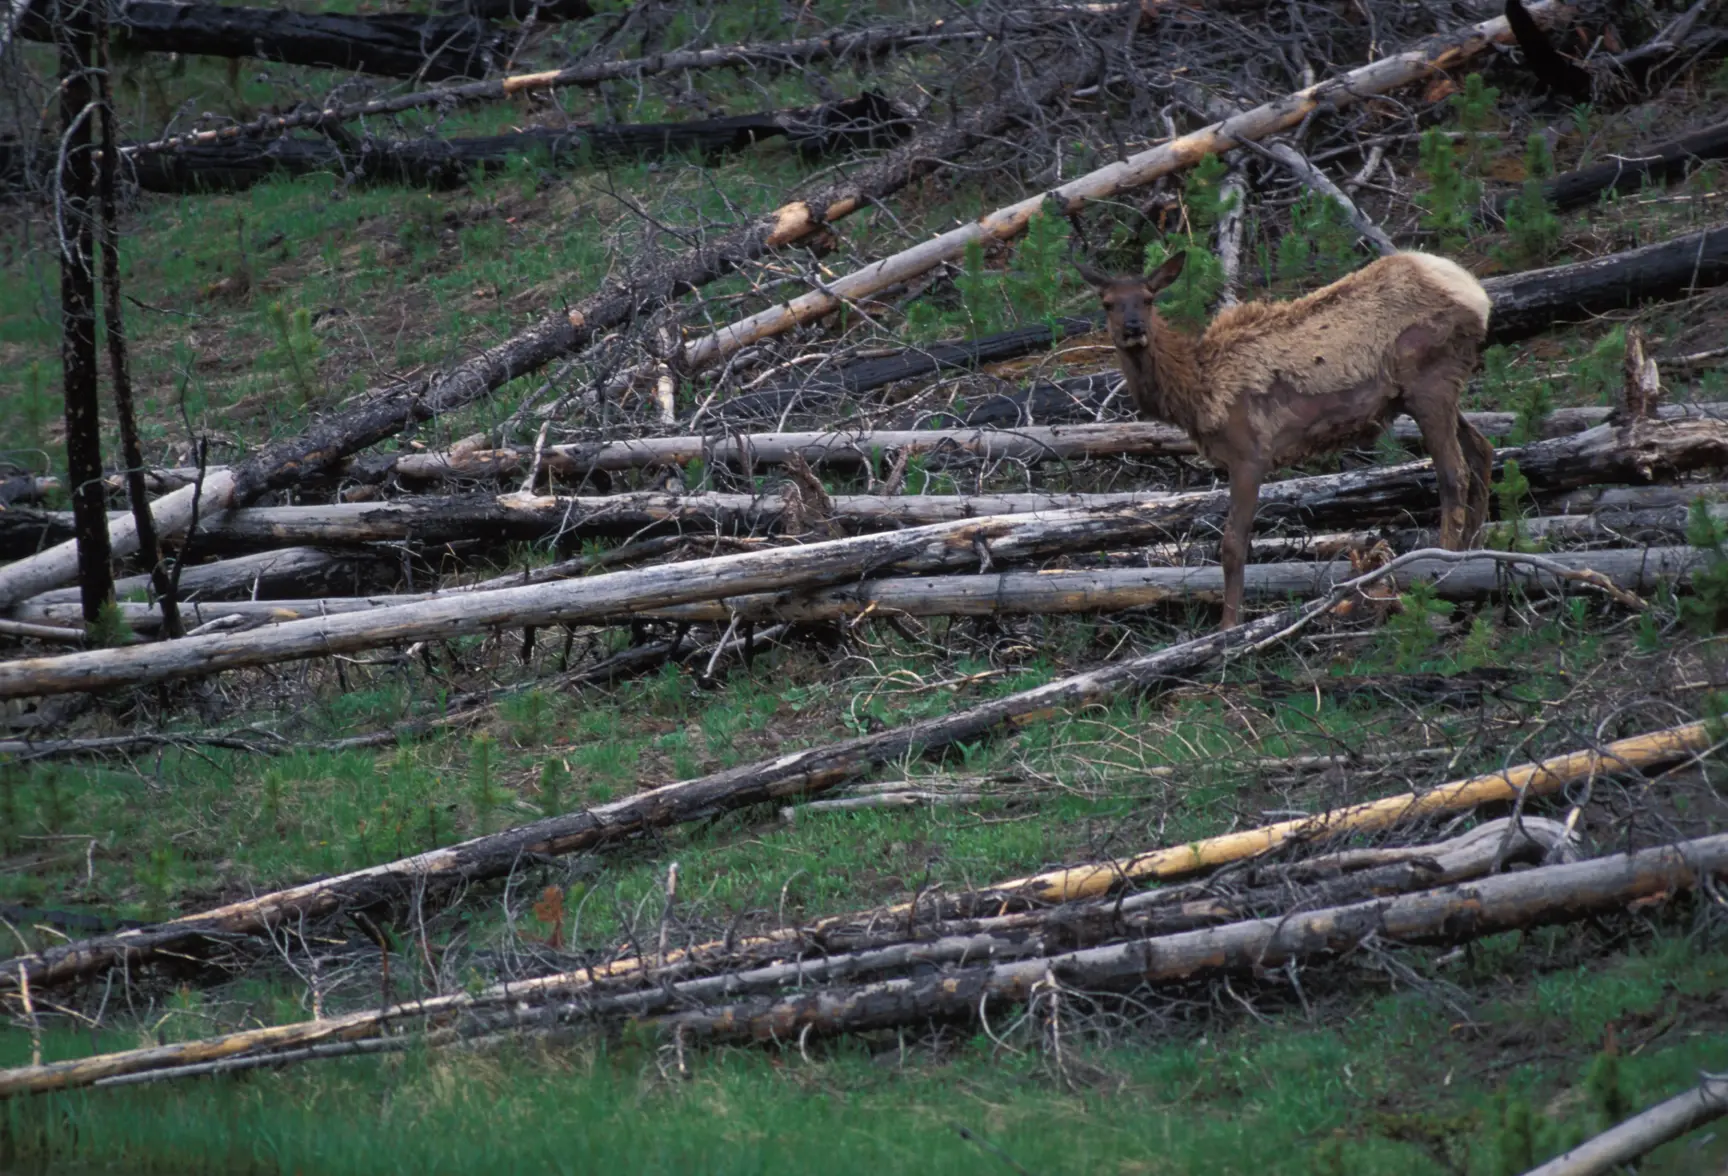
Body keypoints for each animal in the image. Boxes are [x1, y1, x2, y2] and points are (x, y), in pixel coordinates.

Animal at [1077, 250, 1495, 630]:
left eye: (1148, 298)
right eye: (1108, 302)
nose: (1133, 327)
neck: (1196, 397)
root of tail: (1478, 295)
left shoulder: (1249, 455)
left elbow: (1233, 545)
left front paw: (1229, 626)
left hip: (1430, 383)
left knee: (1453, 475)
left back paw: (1442, 567)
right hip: (1433, 391)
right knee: (1481, 450)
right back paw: (1472, 560)